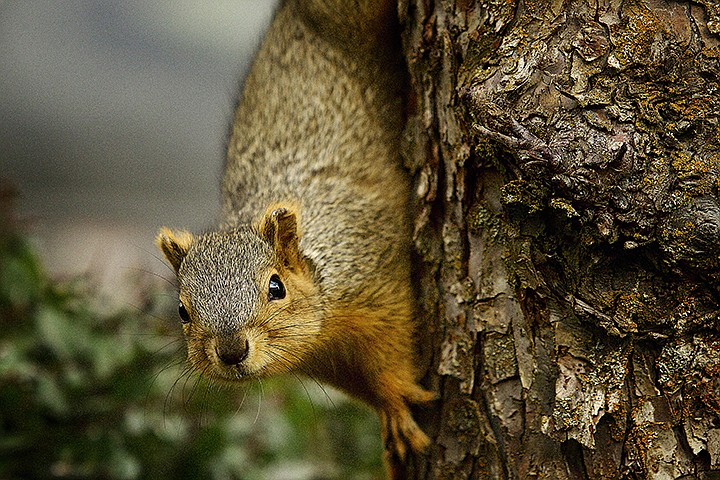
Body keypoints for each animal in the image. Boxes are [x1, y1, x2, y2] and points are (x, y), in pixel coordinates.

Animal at [155, 0, 434, 468]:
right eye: (182, 310)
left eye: (276, 287)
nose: (231, 351)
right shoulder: (330, 363)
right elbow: (367, 385)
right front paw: (386, 415)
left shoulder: (373, 272)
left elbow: (392, 345)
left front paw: (396, 397)